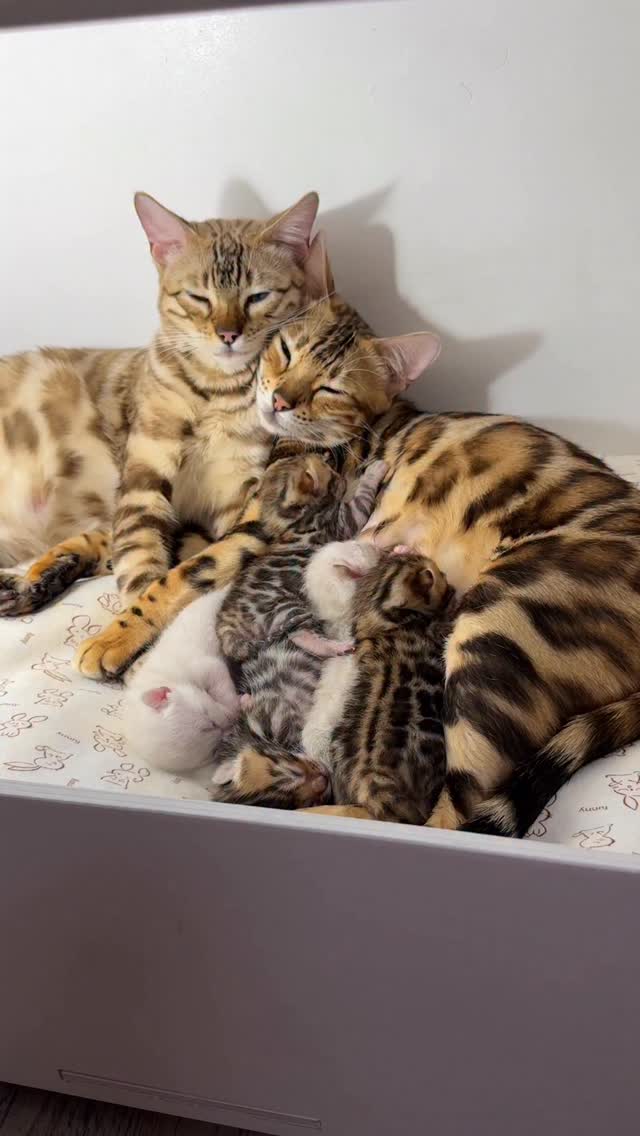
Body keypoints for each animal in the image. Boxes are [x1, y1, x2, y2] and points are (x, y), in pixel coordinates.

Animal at [0, 190, 319, 617]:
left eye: (258, 297)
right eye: (199, 298)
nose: (228, 334)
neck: (216, 392)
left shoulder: (235, 495)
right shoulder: (143, 476)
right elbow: (141, 559)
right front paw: (136, 612)